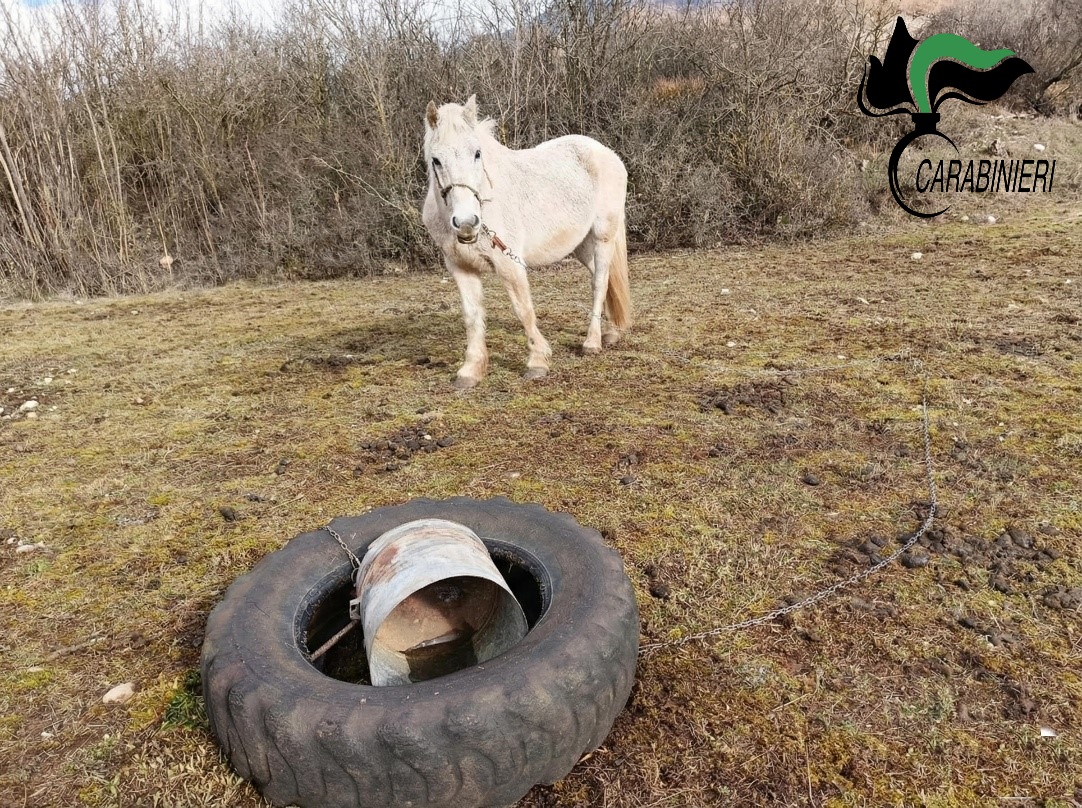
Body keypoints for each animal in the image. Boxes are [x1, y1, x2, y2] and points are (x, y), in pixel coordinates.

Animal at [421, 95, 631, 389]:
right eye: (436, 160)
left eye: (477, 153)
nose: (466, 222)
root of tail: (608, 154)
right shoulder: (461, 269)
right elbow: (471, 317)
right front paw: (470, 371)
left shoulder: (509, 264)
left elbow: (523, 310)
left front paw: (537, 362)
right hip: (581, 246)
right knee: (606, 279)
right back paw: (612, 332)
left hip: (603, 236)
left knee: (599, 282)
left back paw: (592, 342)